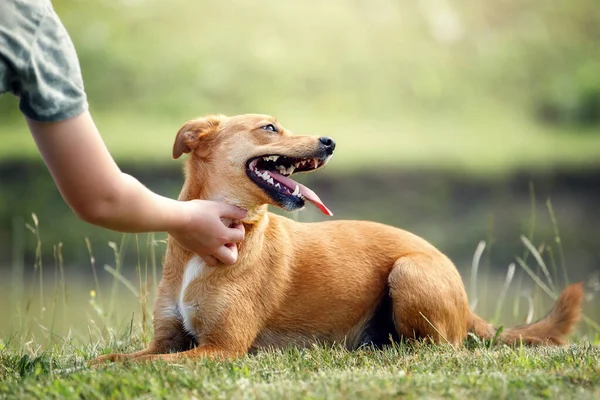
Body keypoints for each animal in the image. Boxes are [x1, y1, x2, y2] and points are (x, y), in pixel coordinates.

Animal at [91, 114, 584, 364]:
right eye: (270, 128)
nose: (330, 142)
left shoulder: (222, 349)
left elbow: (138, 363)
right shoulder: (167, 340)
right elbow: (116, 358)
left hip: (409, 272)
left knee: (443, 347)